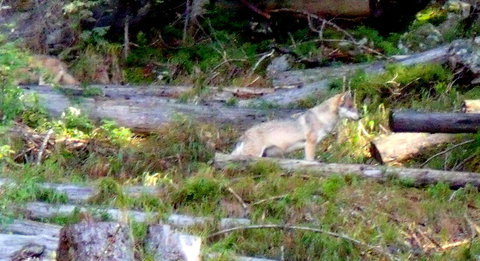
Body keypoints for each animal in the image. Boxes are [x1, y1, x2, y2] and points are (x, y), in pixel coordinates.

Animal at [232, 91, 360, 160]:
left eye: (354, 107)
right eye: (350, 107)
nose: (361, 116)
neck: (321, 119)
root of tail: (244, 134)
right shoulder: (310, 144)